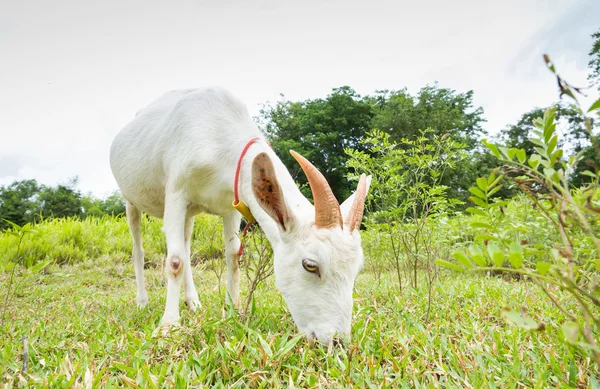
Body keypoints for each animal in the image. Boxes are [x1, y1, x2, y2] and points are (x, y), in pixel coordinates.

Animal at [109, 88, 368, 342]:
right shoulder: (176, 192)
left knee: (186, 243)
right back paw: (142, 301)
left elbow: (233, 256)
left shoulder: (230, 203)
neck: (216, 133)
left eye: (357, 269)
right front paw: (168, 326)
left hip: (190, 213)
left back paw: (193, 301)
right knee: (139, 248)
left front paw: (233, 313)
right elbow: (175, 261)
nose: (336, 340)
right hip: (130, 199)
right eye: (310, 265)